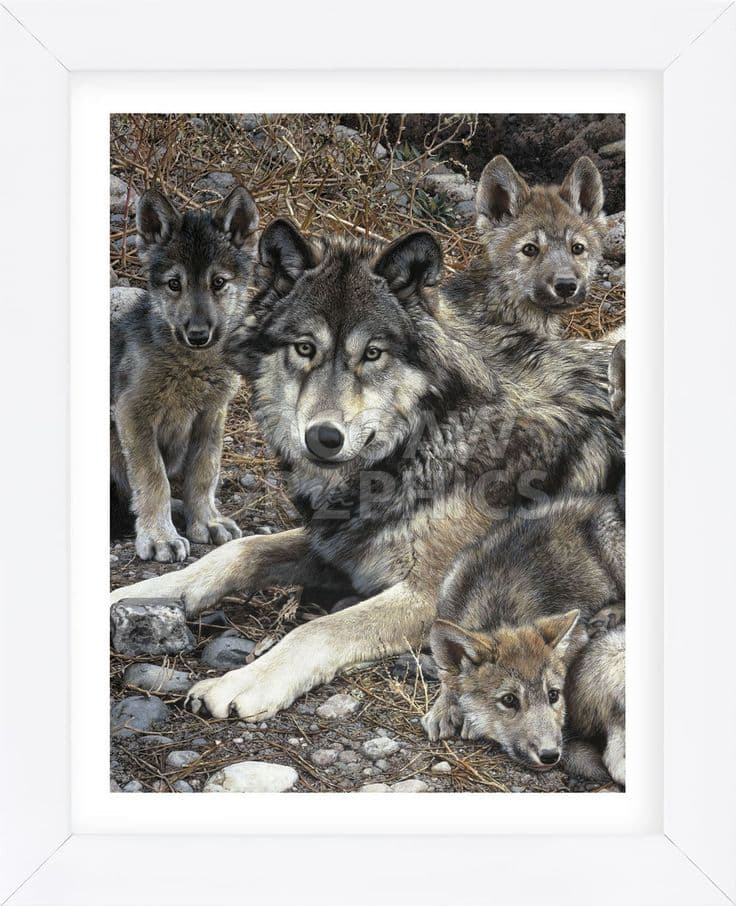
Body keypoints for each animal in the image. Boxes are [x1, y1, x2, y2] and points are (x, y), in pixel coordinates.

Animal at [111, 185, 259, 562]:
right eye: (174, 284)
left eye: (218, 282)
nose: (198, 335)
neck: (191, 365)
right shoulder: (131, 413)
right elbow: (153, 478)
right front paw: (159, 537)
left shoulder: (212, 413)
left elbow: (204, 473)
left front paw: (206, 522)